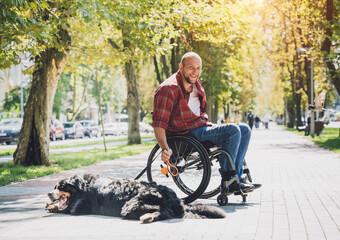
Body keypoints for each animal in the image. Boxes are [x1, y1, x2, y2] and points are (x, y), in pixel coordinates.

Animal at [45, 174, 226, 223]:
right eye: (55, 186)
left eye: (61, 186)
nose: (48, 193)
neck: (83, 187)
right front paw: (50, 205)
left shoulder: (81, 206)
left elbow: (68, 209)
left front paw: (53, 206)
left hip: (130, 205)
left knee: (165, 212)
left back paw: (147, 217)